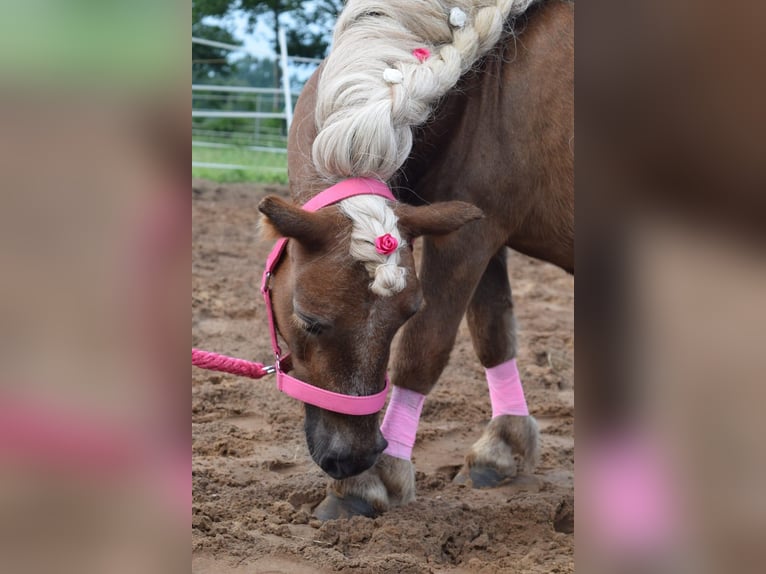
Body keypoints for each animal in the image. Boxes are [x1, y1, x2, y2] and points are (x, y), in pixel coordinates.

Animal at [260, 1, 576, 520]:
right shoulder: (479, 230)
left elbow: (423, 352)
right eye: (308, 320)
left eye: (407, 313)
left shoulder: (468, 239)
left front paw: (375, 480)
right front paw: (502, 447)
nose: (354, 458)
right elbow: (493, 335)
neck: (480, 90)